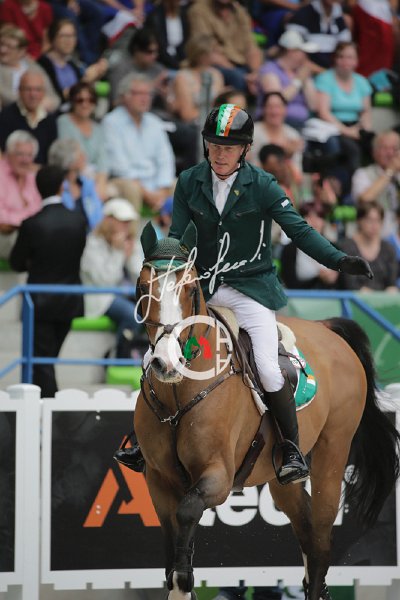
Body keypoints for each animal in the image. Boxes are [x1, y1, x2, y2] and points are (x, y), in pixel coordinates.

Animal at [133, 221, 400, 600]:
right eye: (143, 288)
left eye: (189, 288)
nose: (166, 363)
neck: (179, 392)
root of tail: (328, 330)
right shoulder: (158, 481)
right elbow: (172, 548)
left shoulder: (218, 477)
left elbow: (187, 517)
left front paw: (184, 585)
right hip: (281, 479)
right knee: (306, 532)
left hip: (332, 456)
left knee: (320, 541)